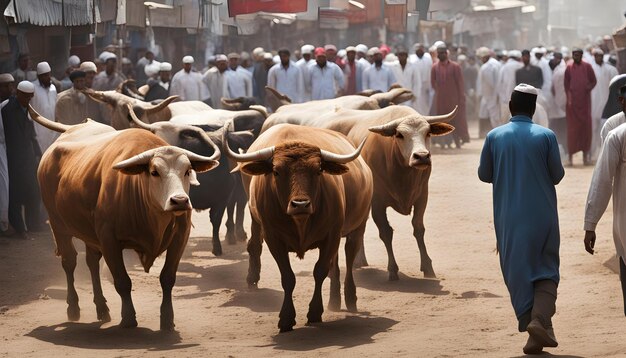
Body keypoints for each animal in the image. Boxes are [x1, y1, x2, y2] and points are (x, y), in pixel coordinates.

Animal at [29, 105, 219, 330]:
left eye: (188, 170)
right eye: (154, 171)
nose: (179, 201)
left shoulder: (180, 237)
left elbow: (167, 278)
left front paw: (167, 319)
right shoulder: (109, 239)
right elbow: (122, 281)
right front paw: (128, 318)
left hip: (89, 233)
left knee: (92, 262)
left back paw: (102, 308)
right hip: (59, 226)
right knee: (69, 261)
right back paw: (73, 307)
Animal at [224, 124, 370, 332]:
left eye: (318, 170)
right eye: (276, 171)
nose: (300, 204)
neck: (301, 222)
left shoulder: (332, 235)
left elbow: (320, 271)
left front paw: (315, 312)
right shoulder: (274, 239)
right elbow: (288, 277)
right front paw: (286, 318)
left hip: (358, 227)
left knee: (349, 258)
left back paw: (350, 298)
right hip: (255, 218)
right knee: (254, 245)